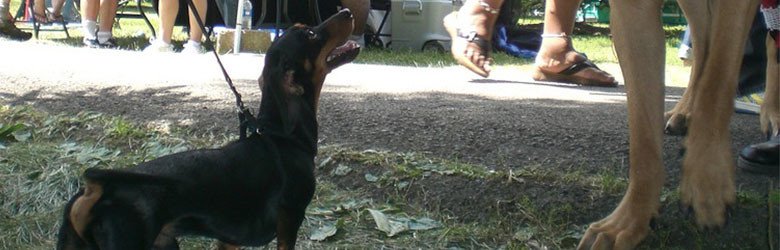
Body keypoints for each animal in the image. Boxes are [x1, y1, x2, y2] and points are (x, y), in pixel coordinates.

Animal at [57, 8, 360, 249]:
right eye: (310, 34)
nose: (347, 11)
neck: (283, 136)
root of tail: (96, 189)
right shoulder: (290, 223)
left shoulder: (230, 240)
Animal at [576, 0, 776, 249]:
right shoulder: (631, 9)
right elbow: (643, 141)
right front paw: (629, 220)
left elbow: (716, 83)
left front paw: (708, 185)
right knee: (702, 41)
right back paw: (685, 113)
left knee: (767, 40)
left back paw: (771, 112)